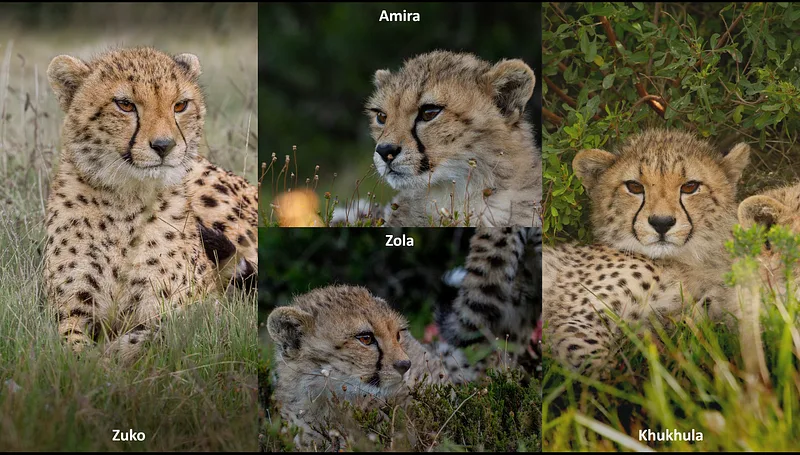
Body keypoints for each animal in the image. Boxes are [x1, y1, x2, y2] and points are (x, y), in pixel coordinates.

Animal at [43, 47, 258, 363]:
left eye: (180, 105)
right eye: (125, 105)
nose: (164, 146)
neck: (126, 202)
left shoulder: (200, 310)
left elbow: (156, 334)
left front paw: (107, 359)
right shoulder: (68, 311)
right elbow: (72, 348)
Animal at [543, 129, 751, 372]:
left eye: (690, 187)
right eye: (634, 187)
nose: (661, 222)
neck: (682, 263)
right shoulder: (576, 317)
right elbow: (598, 366)